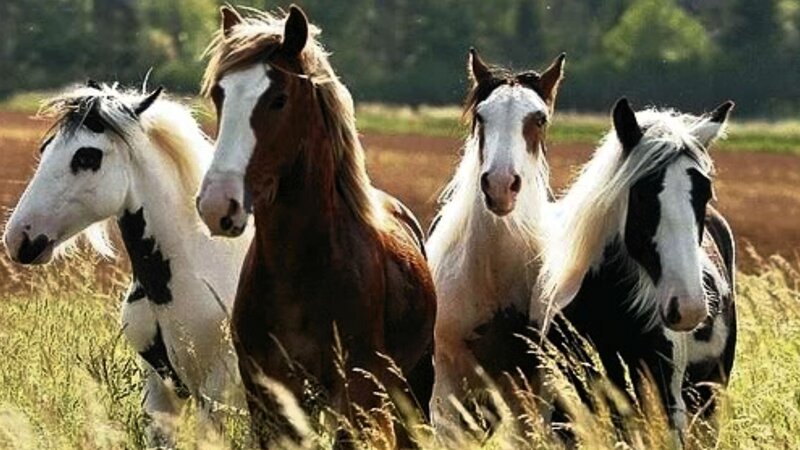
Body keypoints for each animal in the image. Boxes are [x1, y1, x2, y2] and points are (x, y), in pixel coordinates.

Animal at [195, 6, 436, 447]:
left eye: (279, 99)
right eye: (220, 94)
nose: (218, 204)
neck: (301, 271)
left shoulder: (356, 396)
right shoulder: (269, 399)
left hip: (413, 387)